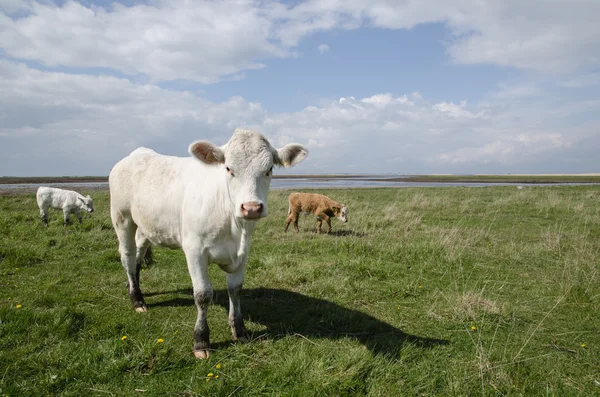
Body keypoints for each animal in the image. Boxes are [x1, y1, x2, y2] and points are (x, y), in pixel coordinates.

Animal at [108, 128, 312, 358]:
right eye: (229, 168)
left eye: (269, 169)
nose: (251, 208)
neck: (233, 227)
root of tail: (136, 154)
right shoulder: (194, 251)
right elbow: (203, 294)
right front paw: (201, 340)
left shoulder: (243, 253)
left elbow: (235, 289)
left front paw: (239, 330)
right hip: (122, 218)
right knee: (127, 256)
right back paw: (137, 300)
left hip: (145, 226)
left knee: (138, 257)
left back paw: (133, 287)